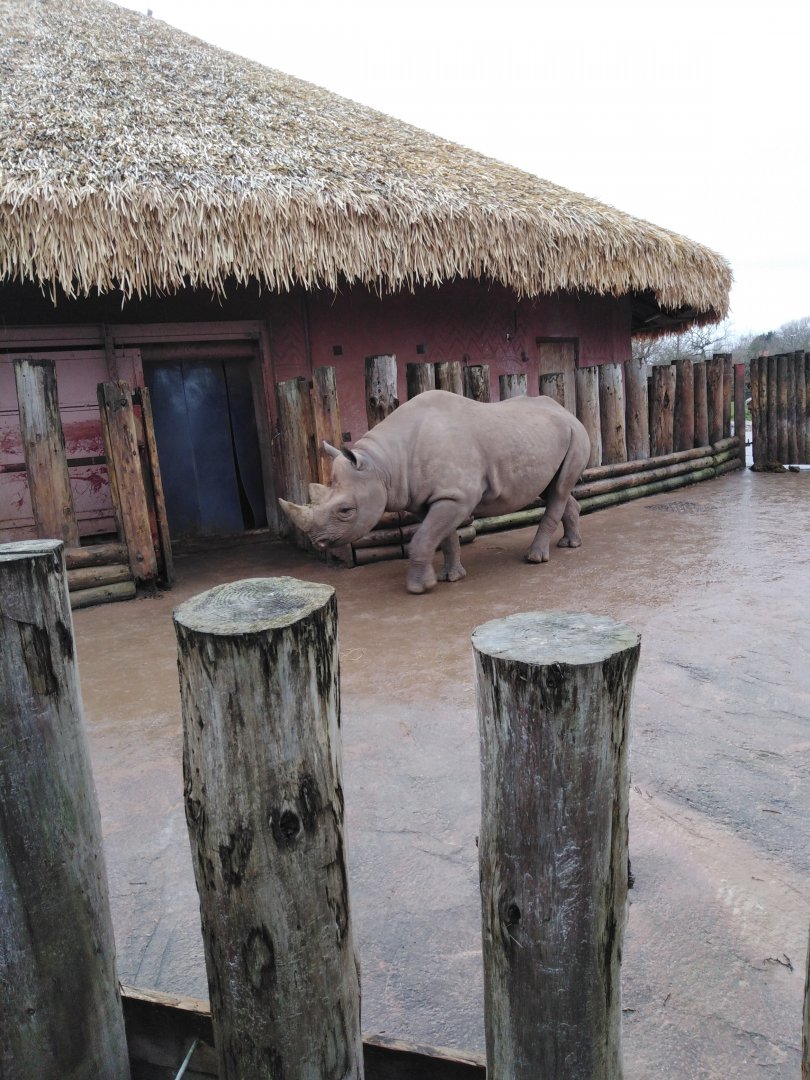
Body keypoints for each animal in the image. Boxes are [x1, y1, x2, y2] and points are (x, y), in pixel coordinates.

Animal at [279, 389, 591, 594]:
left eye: (345, 511)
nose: (318, 542)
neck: (383, 465)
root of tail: (566, 411)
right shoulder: (436, 497)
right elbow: (442, 537)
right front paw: (450, 578)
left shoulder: (455, 496)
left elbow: (423, 537)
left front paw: (420, 587)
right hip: (548, 436)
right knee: (554, 489)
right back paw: (570, 544)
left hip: (576, 433)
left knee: (558, 490)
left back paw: (535, 558)